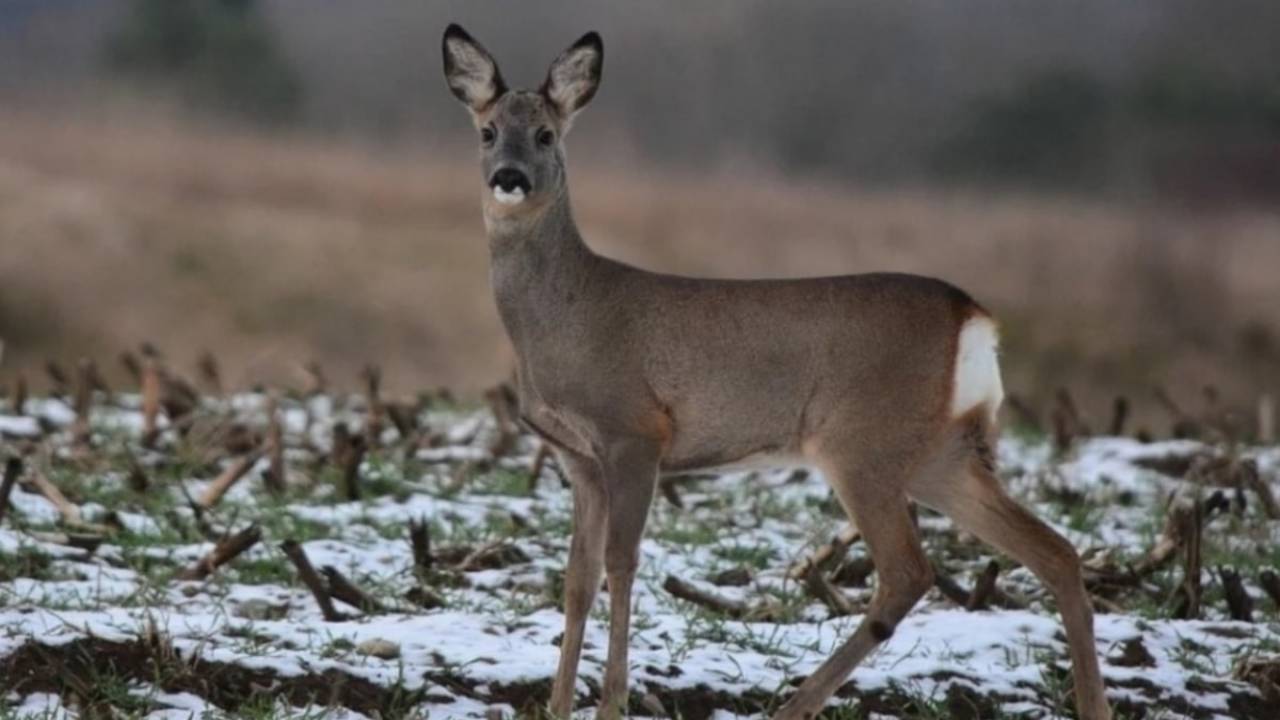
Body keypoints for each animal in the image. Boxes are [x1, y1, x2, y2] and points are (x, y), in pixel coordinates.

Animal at [440, 23, 1111, 717]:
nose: (509, 177)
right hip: (941, 452)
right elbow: (578, 577)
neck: (567, 315)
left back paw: (795, 703)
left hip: (861, 442)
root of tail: (974, 318)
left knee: (908, 571)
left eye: (547, 133)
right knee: (1055, 551)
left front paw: (611, 703)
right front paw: (557, 705)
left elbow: (622, 565)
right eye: (487, 131)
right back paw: (1095, 704)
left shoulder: (635, 432)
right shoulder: (576, 455)